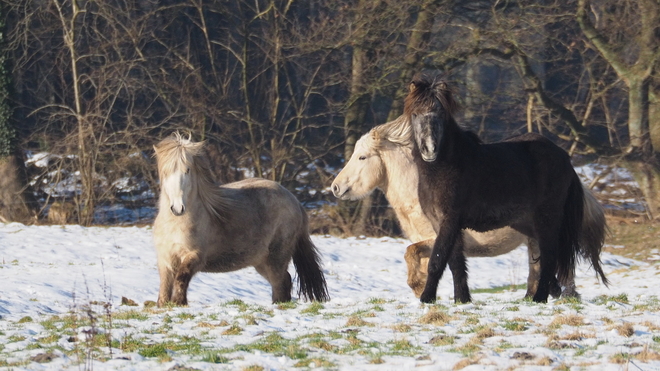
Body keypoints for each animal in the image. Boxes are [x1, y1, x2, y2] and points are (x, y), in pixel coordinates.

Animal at [154, 135, 330, 306]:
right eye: (165, 171)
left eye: (187, 170)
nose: (178, 208)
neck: (175, 225)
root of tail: (295, 201)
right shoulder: (165, 258)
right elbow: (165, 287)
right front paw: (164, 305)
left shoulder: (195, 256)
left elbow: (181, 278)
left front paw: (179, 303)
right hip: (261, 262)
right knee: (282, 282)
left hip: (277, 257)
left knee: (281, 282)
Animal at [332, 117, 604, 300]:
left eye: (362, 157)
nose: (335, 187)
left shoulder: (439, 236)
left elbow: (414, 253)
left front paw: (420, 289)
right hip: (533, 236)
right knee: (538, 266)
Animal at [404, 74, 612, 304]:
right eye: (415, 113)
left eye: (441, 113)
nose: (429, 149)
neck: (446, 166)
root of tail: (564, 157)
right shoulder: (442, 222)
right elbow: (455, 262)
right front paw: (462, 299)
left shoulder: (449, 220)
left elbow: (437, 260)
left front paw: (426, 298)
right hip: (526, 222)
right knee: (544, 257)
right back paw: (551, 291)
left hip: (547, 218)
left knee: (549, 257)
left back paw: (540, 297)